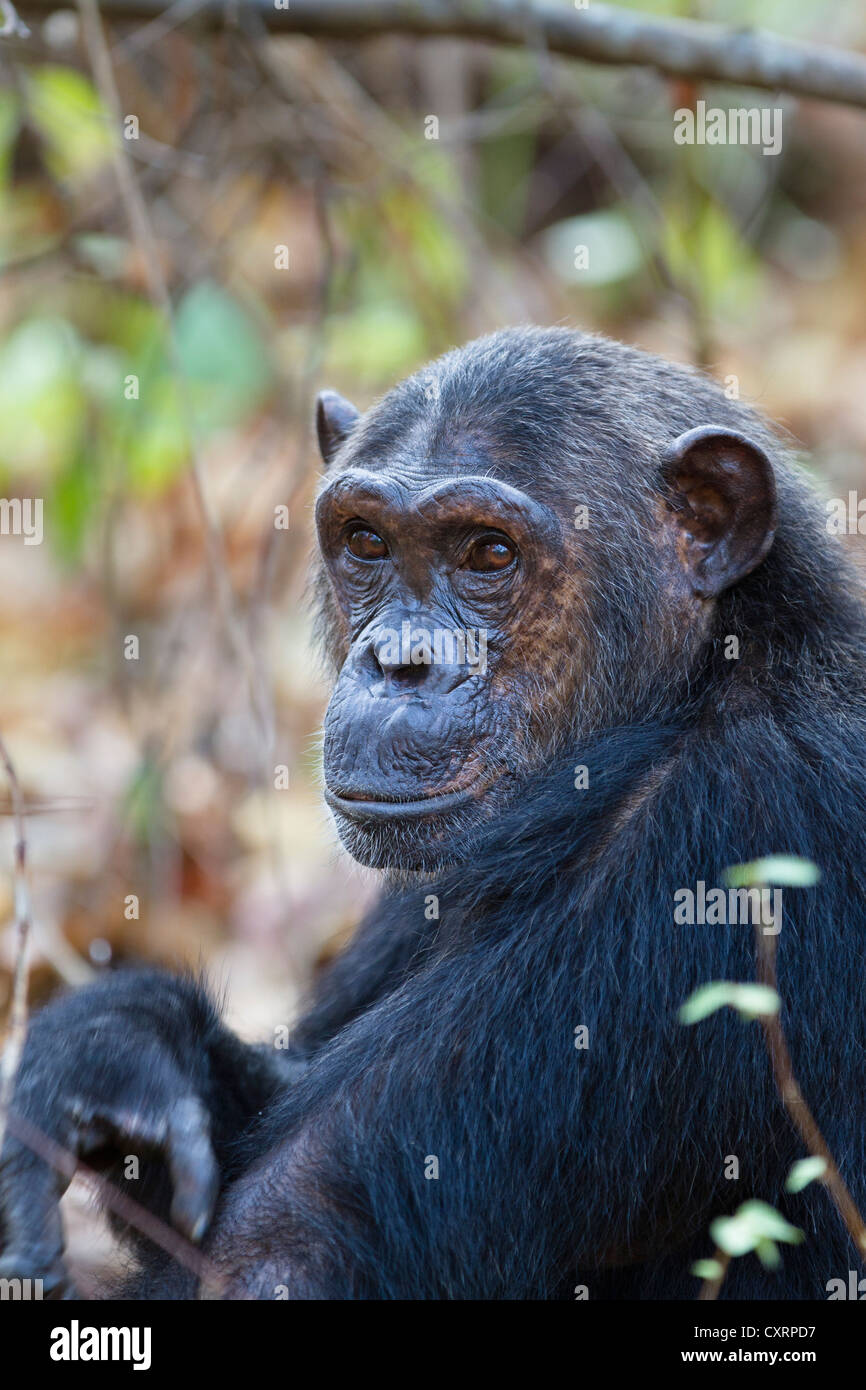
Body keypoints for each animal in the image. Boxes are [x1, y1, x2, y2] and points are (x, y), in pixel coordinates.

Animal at [1, 328, 866, 1301]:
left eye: (488, 553)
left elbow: (273, 1247)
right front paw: (111, 1048)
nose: (399, 661)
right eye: (367, 540)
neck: (691, 688)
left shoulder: (721, 836)